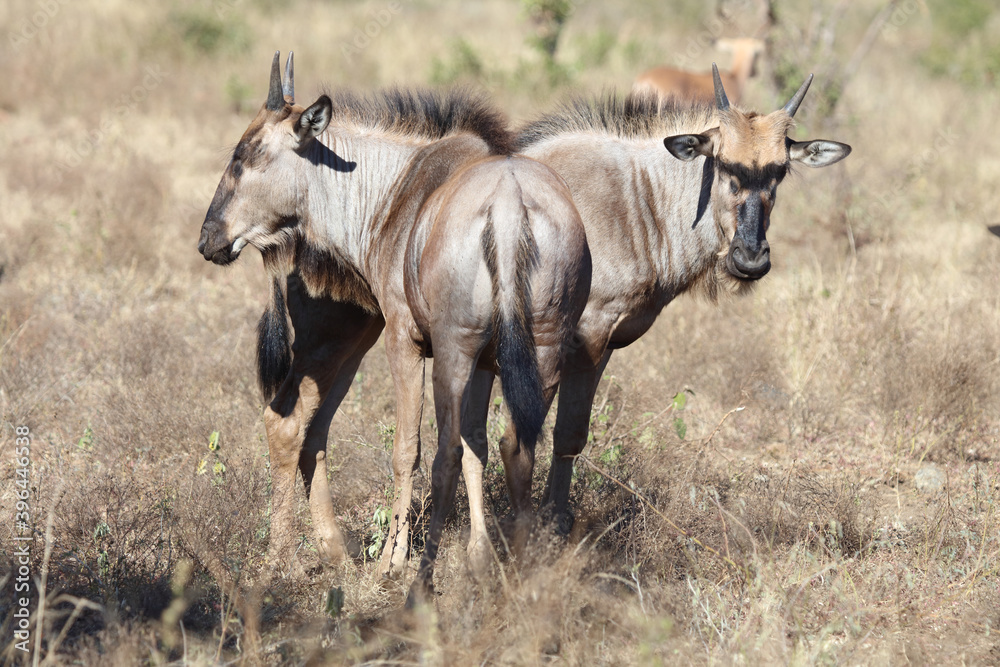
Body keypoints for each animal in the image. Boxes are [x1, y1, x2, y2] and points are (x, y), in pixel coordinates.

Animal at [195, 53, 588, 600]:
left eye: (245, 154)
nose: (208, 239)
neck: (396, 191)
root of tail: (510, 205)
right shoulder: (487, 361)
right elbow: (479, 448)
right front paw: (480, 557)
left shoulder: (407, 341)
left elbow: (411, 450)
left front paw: (393, 563)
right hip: (540, 349)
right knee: (516, 444)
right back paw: (521, 563)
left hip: (417, 350)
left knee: (340, 433)